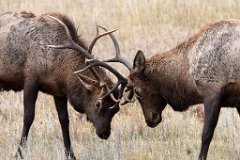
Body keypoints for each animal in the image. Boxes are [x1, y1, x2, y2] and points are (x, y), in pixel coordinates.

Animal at [0, 11, 121, 159]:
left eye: (116, 109)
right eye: (98, 103)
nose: (105, 133)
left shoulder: (58, 91)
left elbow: (64, 120)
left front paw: (71, 155)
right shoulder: (30, 79)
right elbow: (28, 117)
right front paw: (19, 153)